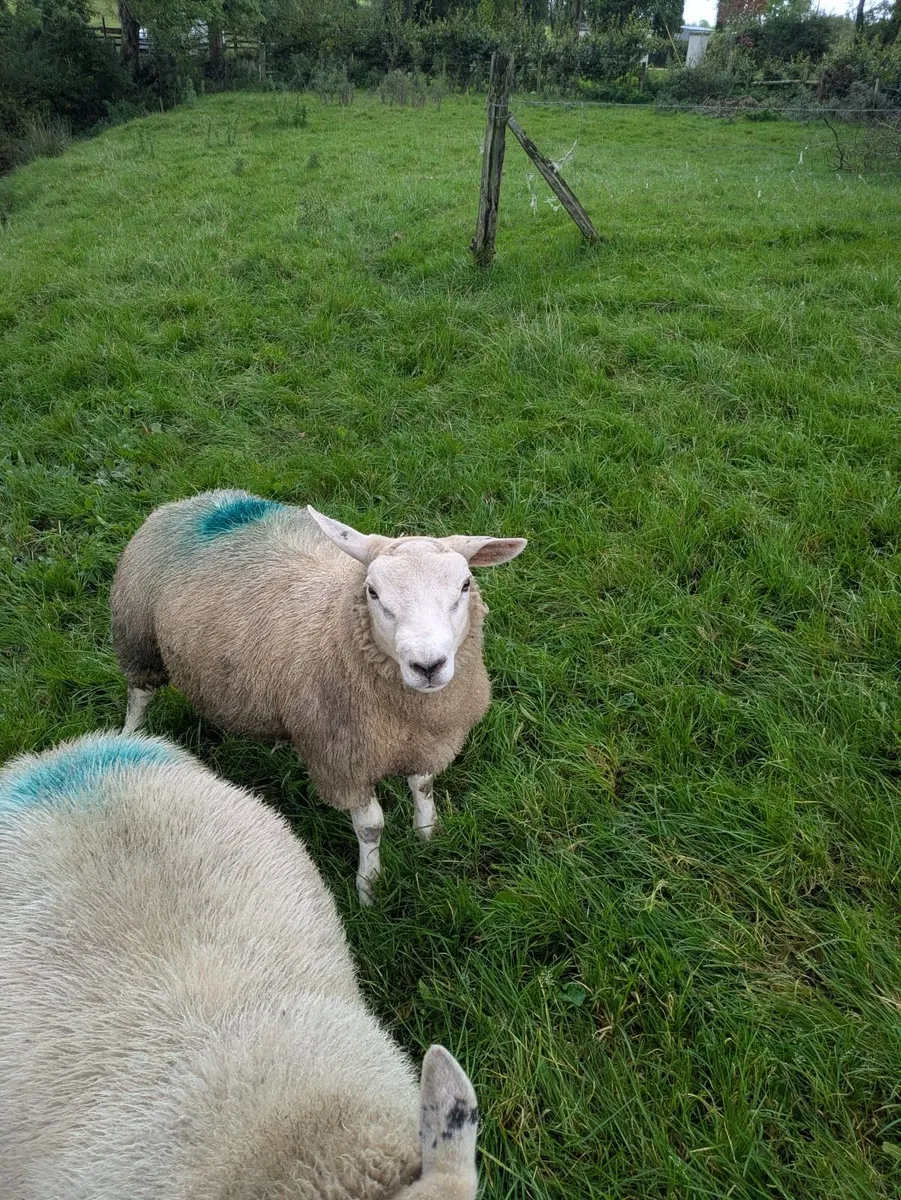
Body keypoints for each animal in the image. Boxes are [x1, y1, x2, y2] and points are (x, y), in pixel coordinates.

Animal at [110, 490, 526, 905]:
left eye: (465, 585)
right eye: (373, 592)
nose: (428, 665)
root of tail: (198, 500)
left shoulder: (429, 738)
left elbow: (422, 787)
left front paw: (427, 834)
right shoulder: (341, 759)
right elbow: (372, 827)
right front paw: (369, 887)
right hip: (138, 636)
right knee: (139, 695)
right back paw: (130, 737)